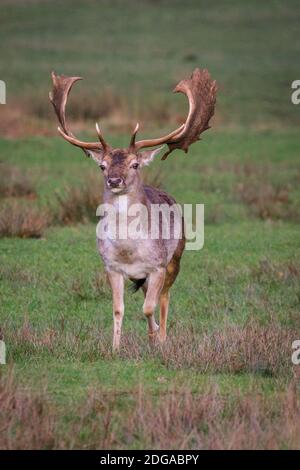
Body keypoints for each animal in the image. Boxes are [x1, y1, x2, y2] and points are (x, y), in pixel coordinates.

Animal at [49, 69, 218, 348]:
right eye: (102, 166)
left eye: (135, 164)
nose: (114, 180)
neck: (129, 251)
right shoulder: (111, 267)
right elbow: (118, 309)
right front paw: (115, 348)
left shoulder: (158, 266)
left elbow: (149, 307)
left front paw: (156, 337)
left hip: (176, 258)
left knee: (164, 298)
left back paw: (162, 337)